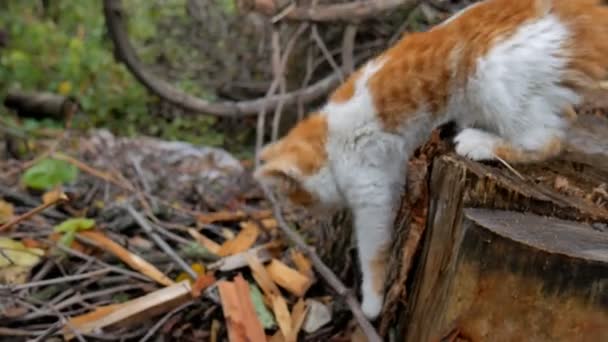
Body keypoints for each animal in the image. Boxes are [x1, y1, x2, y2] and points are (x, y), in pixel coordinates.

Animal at [253, 0, 608, 320]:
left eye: (300, 198)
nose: (308, 214)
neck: (329, 139)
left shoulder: (372, 190)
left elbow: (374, 249)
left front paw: (372, 303)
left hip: (491, 74)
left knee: (546, 139)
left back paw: (480, 143)